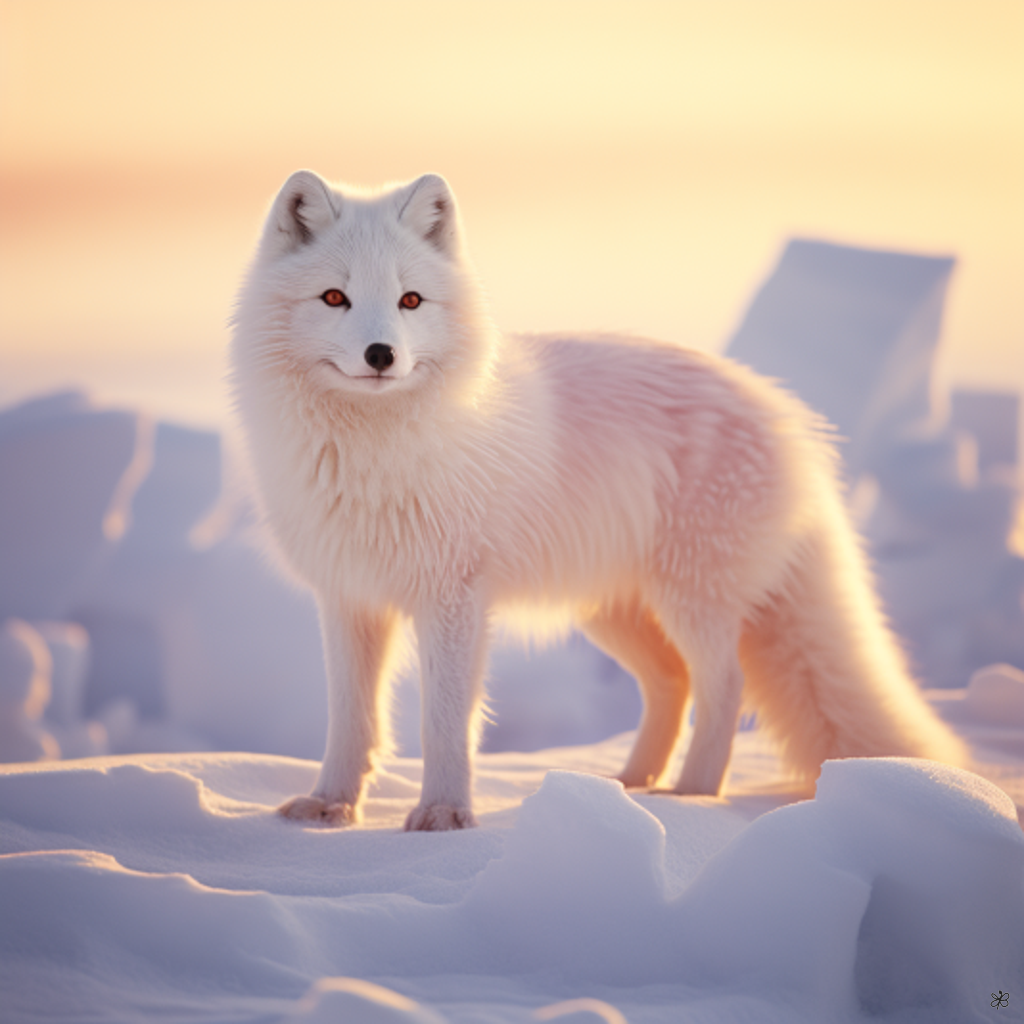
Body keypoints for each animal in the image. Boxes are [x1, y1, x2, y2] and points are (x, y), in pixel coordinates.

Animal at [231, 170, 966, 831]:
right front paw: (330, 805)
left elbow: (445, 721)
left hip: (691, 599)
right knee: (672, 684)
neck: (373, 454)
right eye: (334, 297)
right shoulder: (348, 596)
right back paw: (633, 786)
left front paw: (443, 814)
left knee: (722, 689)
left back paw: (692, 798)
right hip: (615, 610)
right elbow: (350, 719)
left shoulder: (453, 599)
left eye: (411, 301)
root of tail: (790, 419)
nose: (382, 354)